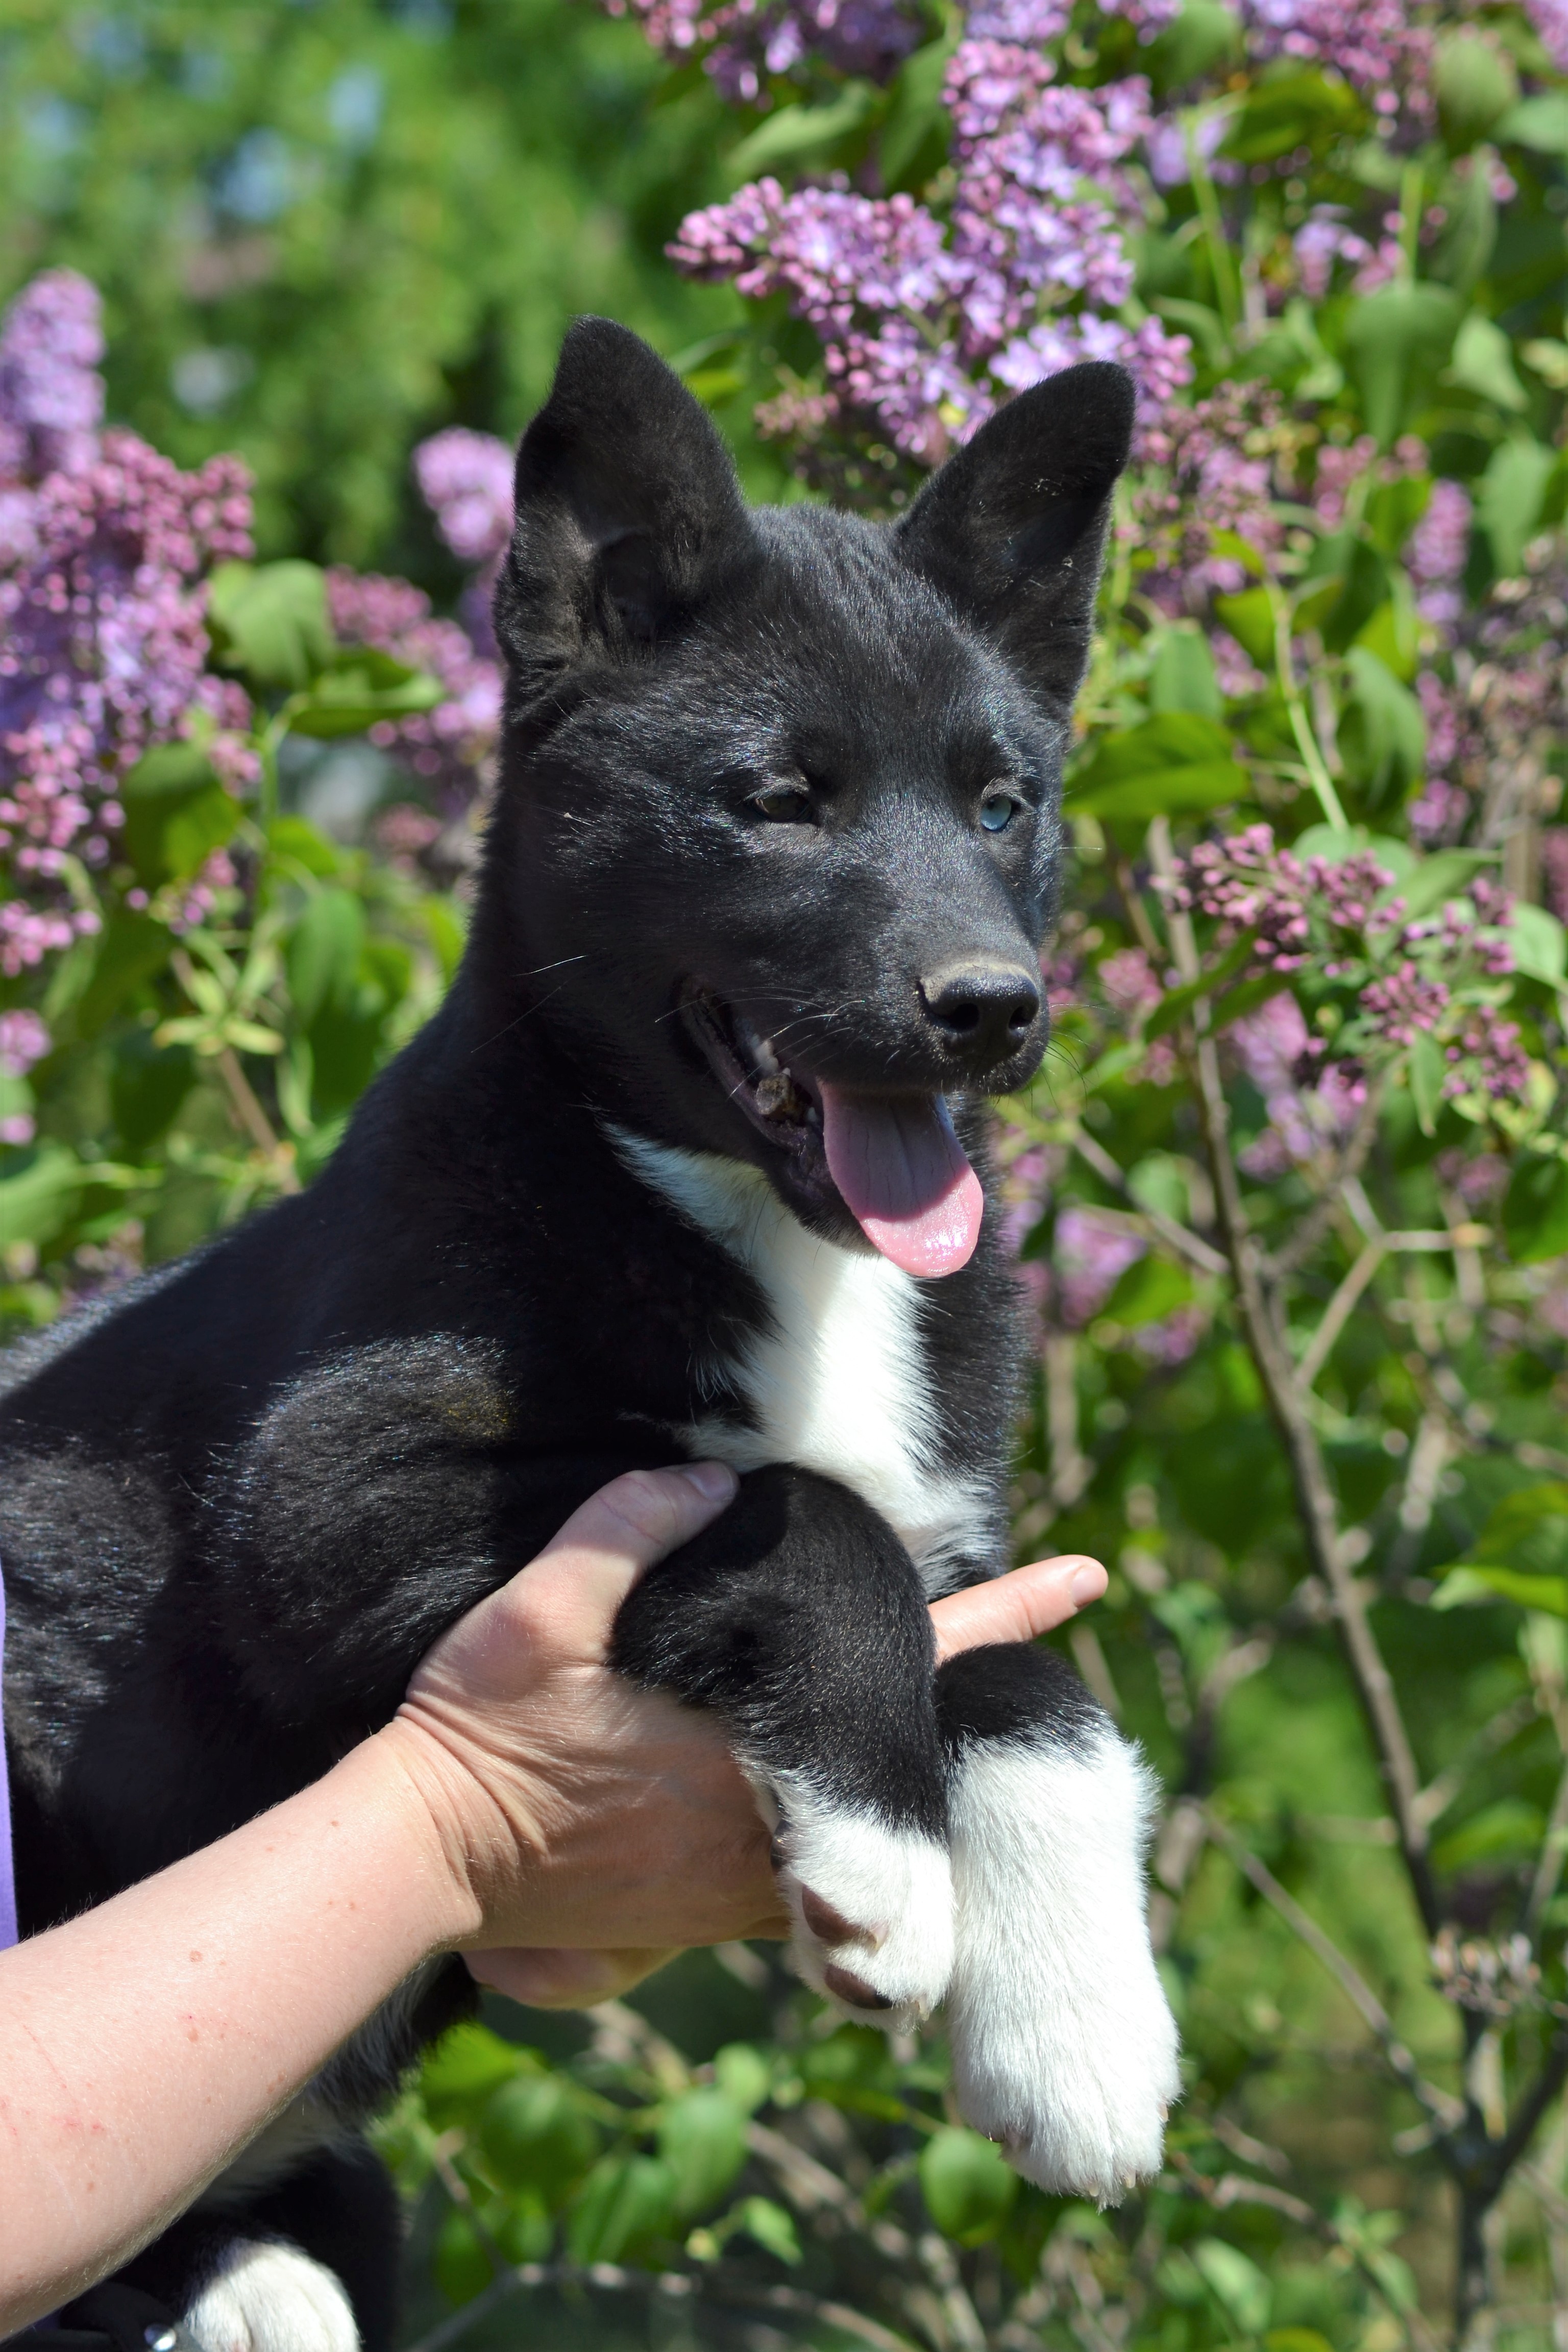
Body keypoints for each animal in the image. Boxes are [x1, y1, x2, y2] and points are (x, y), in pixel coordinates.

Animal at [0, 320, 1179, 2350]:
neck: (750, 1229)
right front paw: (885, 1867)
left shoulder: (960, 1525)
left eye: (1001, 804)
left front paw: (1078, 2028)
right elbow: (792, 1509)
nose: (992, 1008)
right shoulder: (333, 1506)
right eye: (778, 799)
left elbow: (1028, 1678)